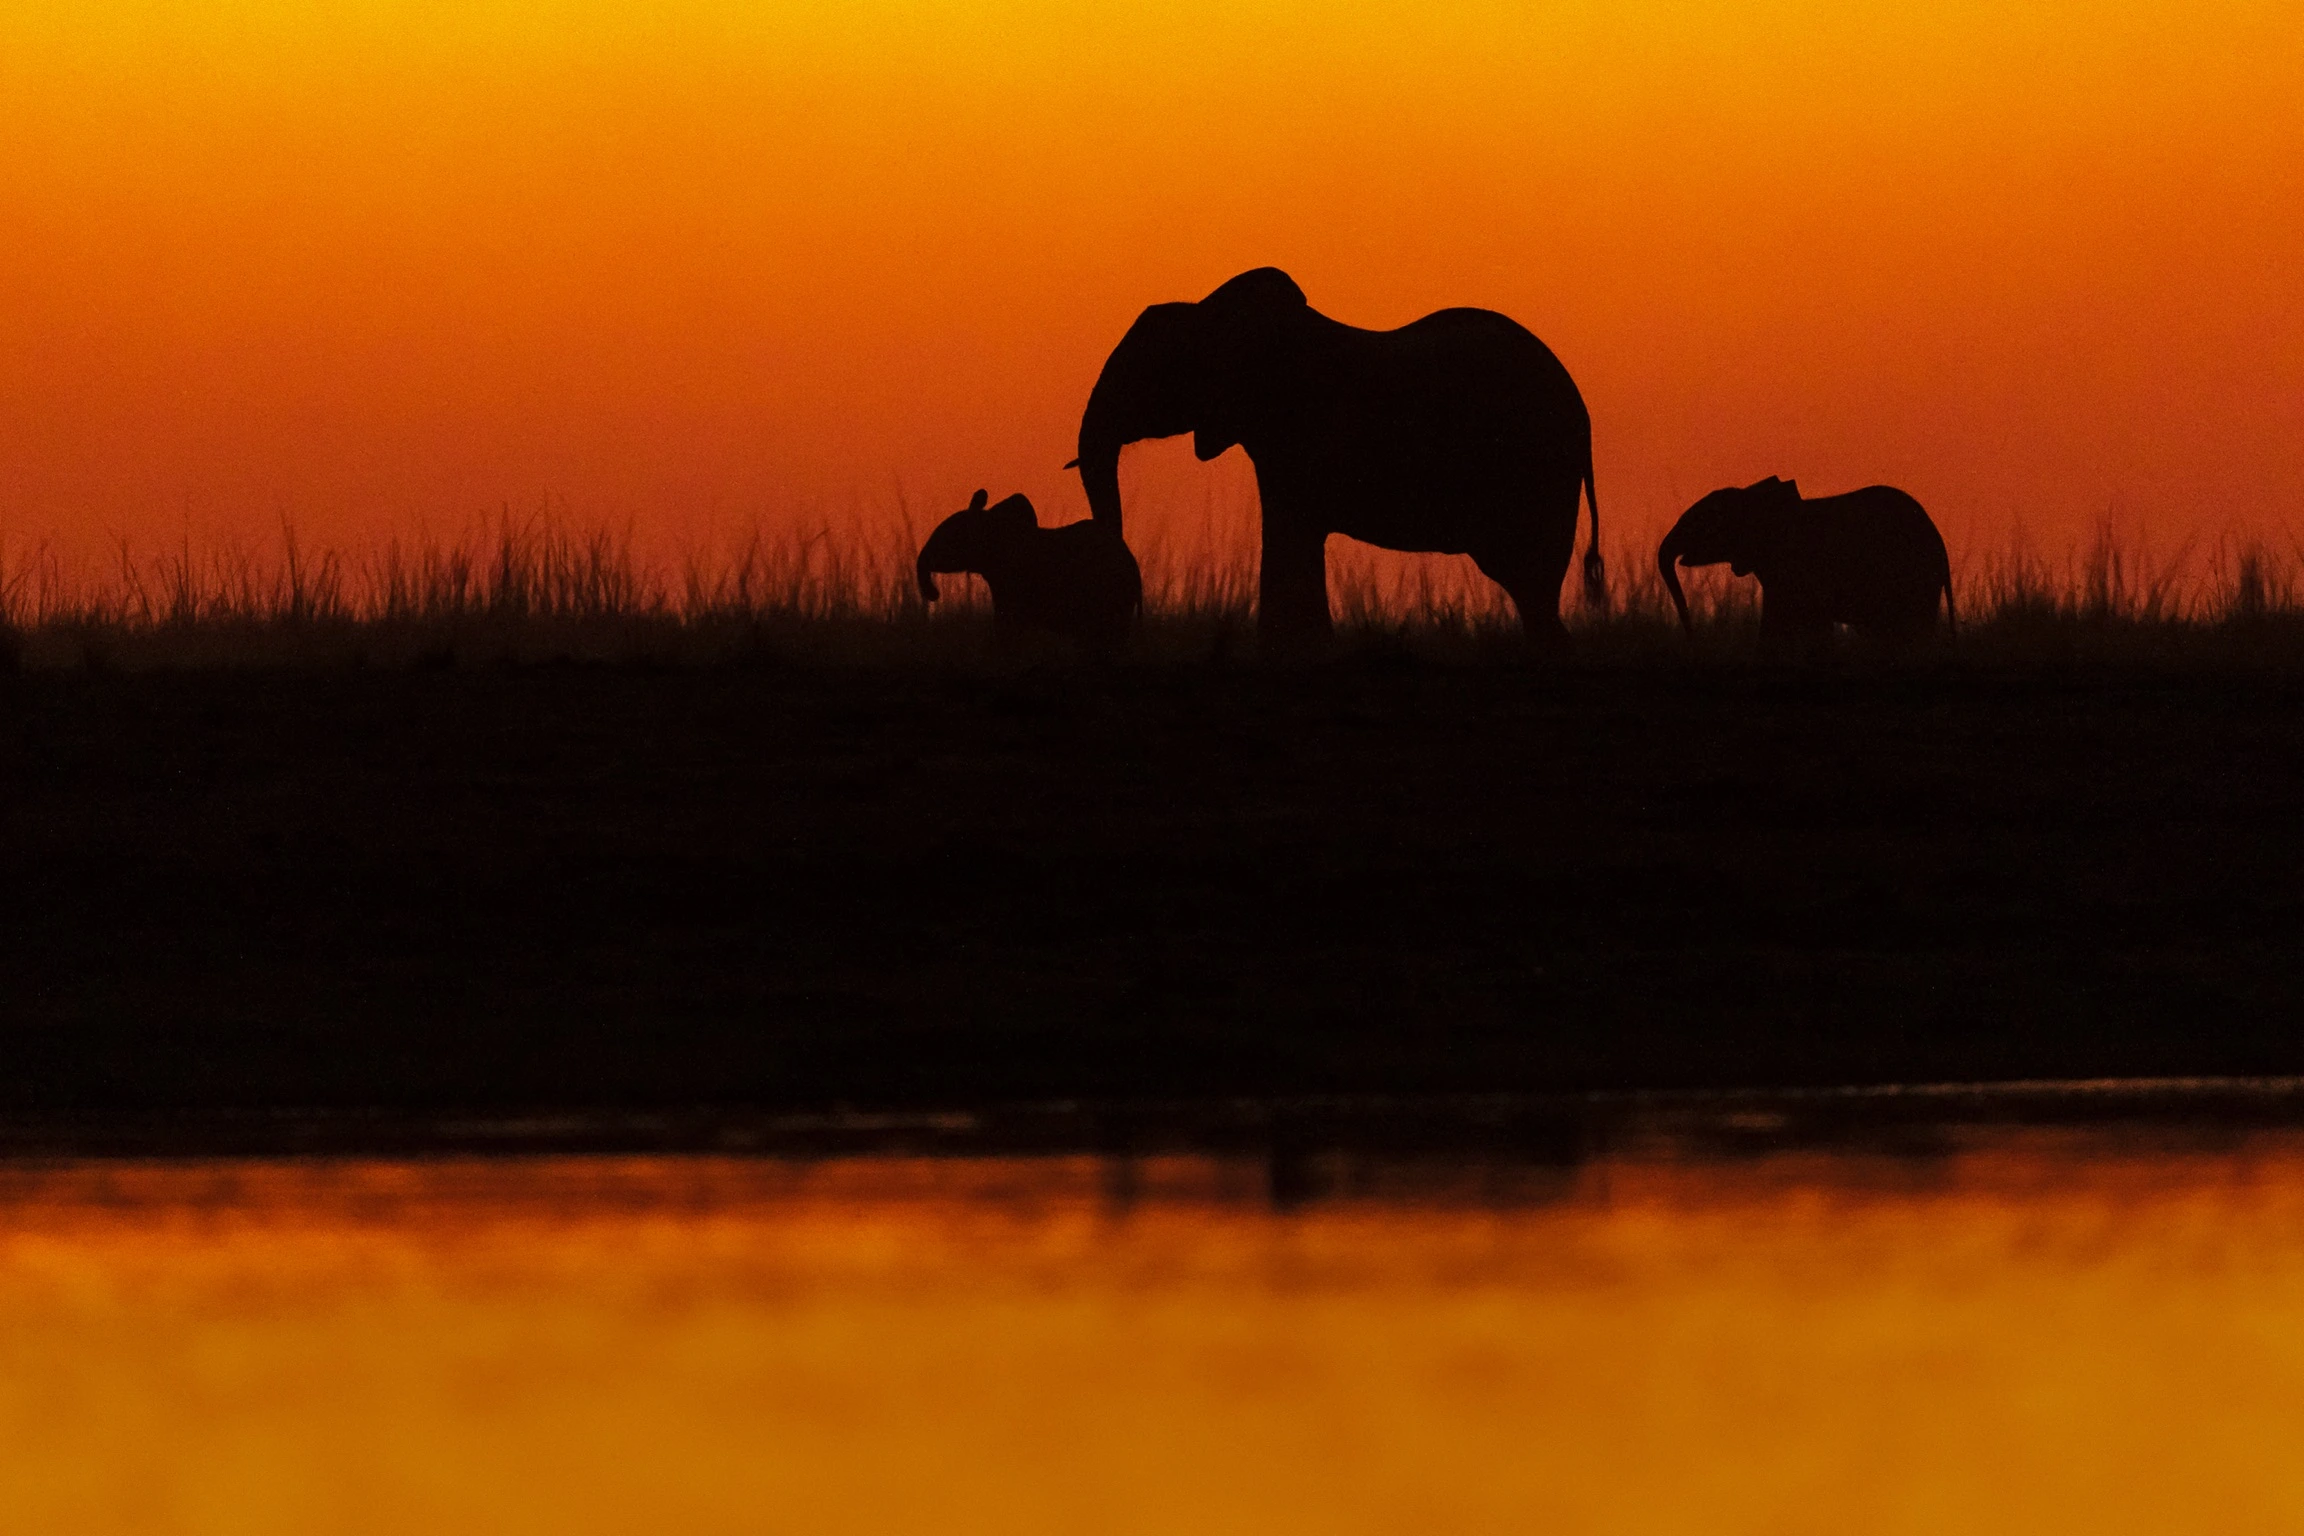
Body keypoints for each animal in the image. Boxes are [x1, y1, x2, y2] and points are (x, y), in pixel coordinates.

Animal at [1064, 270, 1594, 644]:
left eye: (1148, 375)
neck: (1214, 314)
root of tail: (1582, 414)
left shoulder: (1295, 429)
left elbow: (1289, 534)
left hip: (1535, 473)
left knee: (1529, 585)